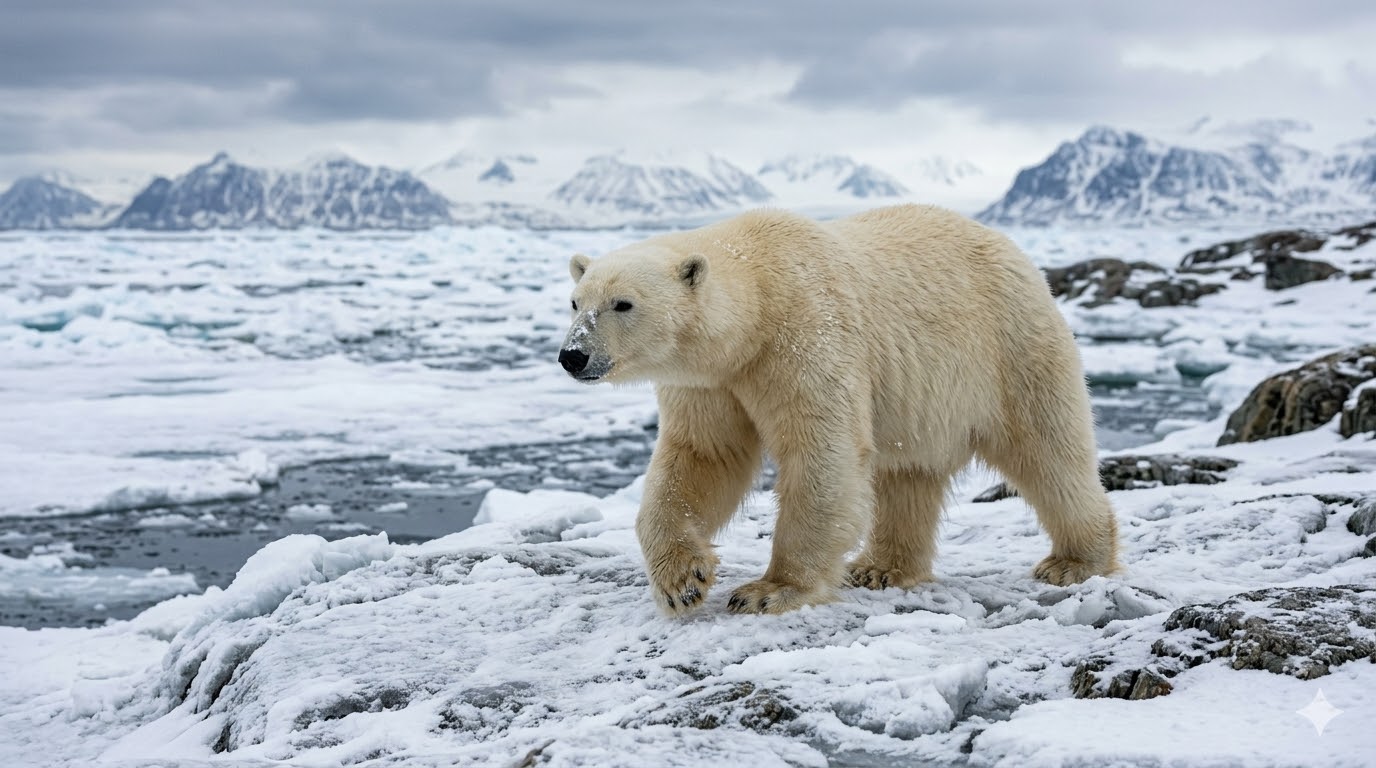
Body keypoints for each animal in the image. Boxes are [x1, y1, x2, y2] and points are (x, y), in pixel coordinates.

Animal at [558, 204, 1120, 615]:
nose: (573, 355)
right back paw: (880, 567)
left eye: (623, 303)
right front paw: (683, 581)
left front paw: (768, 590)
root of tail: (1018, 254)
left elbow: (821, 452)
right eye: (575, 300)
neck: (758, 296)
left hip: (1011, 349)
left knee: (1049, 452)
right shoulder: (712, 381)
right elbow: (704, 456)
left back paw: (1074, 561)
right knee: (908, 474)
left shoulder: (805, 334)